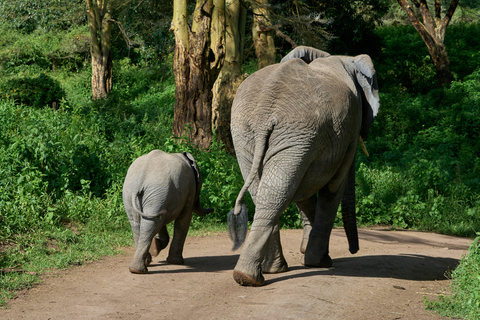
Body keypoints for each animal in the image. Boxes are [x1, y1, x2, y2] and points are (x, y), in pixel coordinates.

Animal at [227, 46, 380, 286]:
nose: (354, 250)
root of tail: (264, 109)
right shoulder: (349, 129)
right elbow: (332, 188)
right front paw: (320, 262)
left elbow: (303, 189)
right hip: (291, 131)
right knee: (280, 188)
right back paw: (254, 276)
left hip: (252, 133)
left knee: (270, 190)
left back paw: (257, 274)